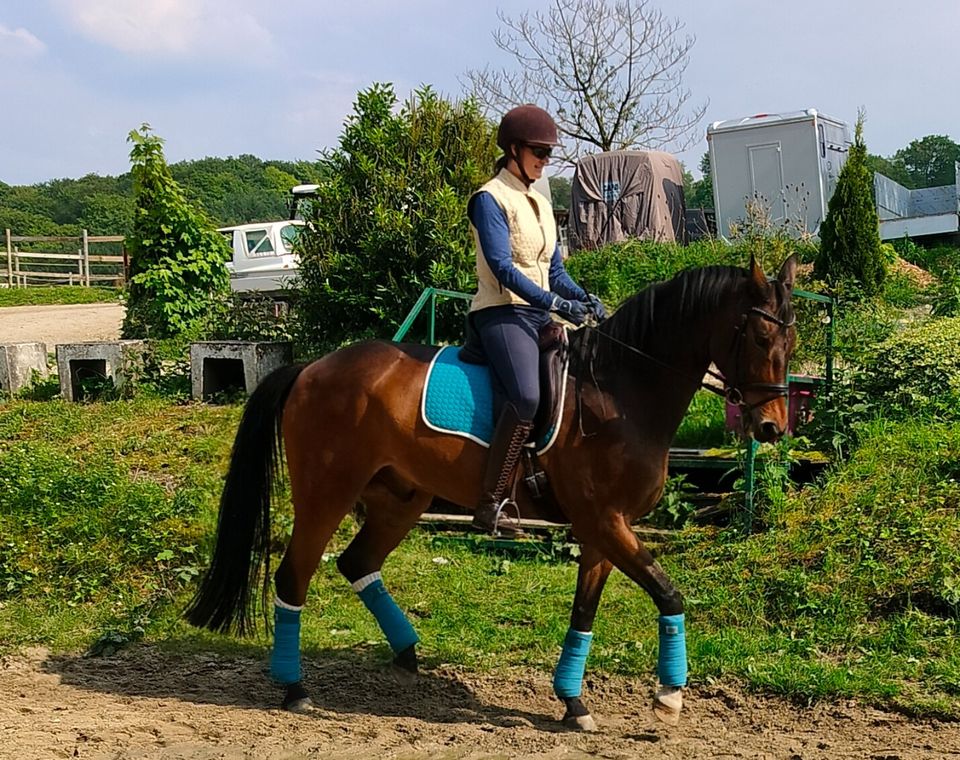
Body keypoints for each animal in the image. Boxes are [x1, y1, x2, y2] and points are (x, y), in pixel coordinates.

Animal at [184, 254, 800, 732]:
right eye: (760, 336)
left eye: (792, 341)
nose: (772, 427)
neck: (619, 393)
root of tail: (313, 367)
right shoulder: (605, 522)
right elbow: (670, 595)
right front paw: (669, 696)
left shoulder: (604, 529)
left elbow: (585, 611)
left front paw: (573, 702)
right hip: (326, 496)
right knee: (294, 577)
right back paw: (295, 689)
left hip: (400, 499)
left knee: (357, 563)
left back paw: (407, 653)